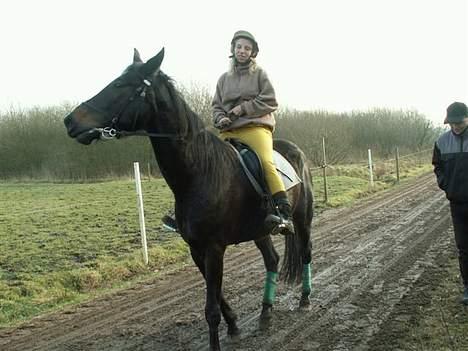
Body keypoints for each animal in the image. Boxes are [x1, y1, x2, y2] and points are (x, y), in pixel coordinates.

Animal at [61, 47, 310, 351]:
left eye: (120, 85)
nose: (71, 120)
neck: (199, 172)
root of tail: (296, 151)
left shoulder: (214, 247)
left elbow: (211, 309)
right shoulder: (196, 248)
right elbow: (217, 296)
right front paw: (234, 325)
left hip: (302, 218)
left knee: (306, 253)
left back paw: (305, 300)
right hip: (260, 230)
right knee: (272, 261)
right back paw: (265, 313)